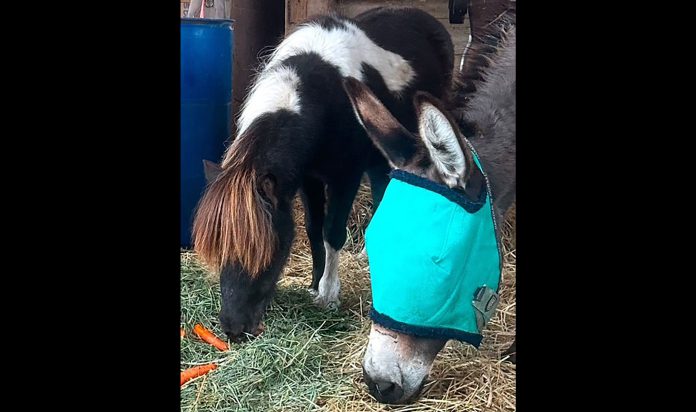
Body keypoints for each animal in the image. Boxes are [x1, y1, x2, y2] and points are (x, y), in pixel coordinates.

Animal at [191, 7, 455, 342]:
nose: (234, 329)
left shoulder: (345, 177)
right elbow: (313, 229)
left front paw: (329, 294)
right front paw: (314, 284)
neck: (324, 92)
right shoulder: (309, 179)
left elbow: (332, 232)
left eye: (268, 251)